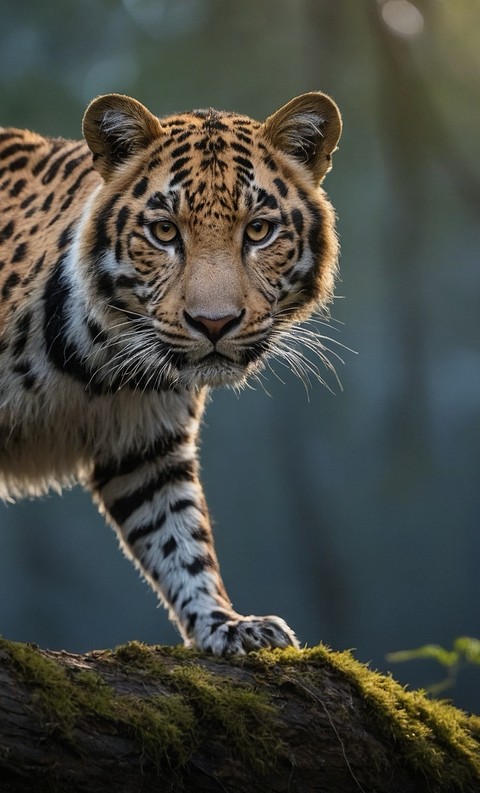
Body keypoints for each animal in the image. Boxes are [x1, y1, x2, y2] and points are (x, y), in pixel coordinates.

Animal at [0, 91, 342, 654]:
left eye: (258, 230)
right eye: (164, 232)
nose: (214, 323)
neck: (101, 364)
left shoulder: (147, 447)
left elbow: (180, 538)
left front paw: (226, 624)